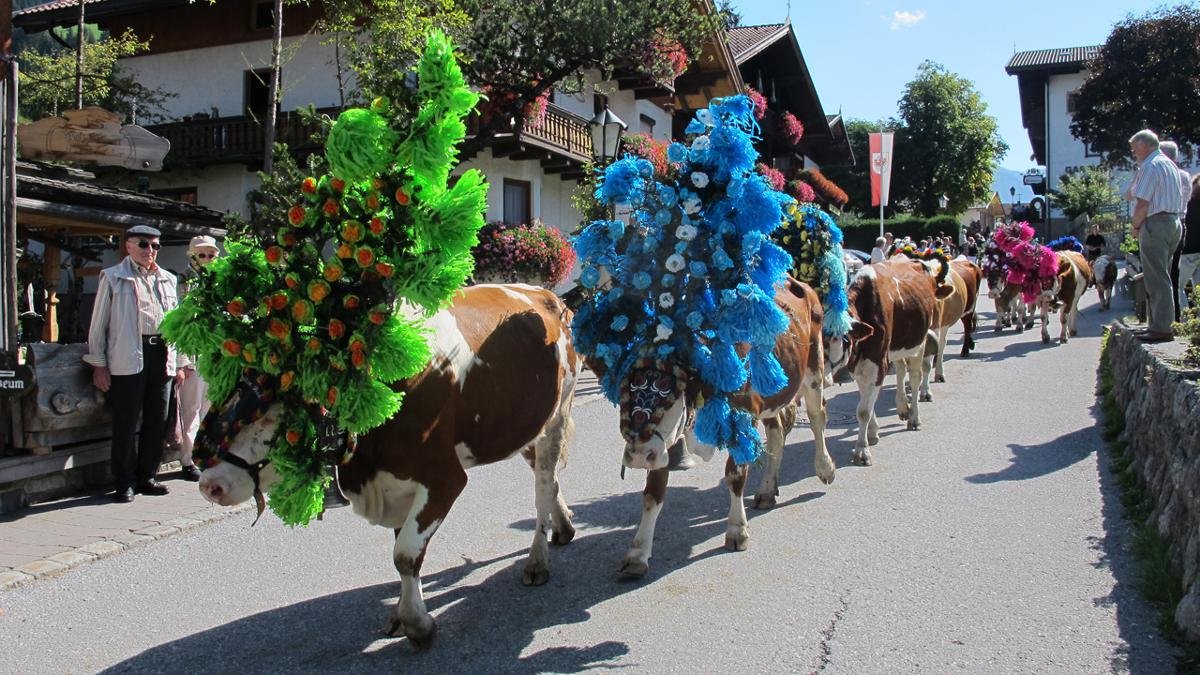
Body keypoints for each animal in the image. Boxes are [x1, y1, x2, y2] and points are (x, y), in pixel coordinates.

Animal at [192, 283, 580, 648]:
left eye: (274, 418)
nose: (209, 485)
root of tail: (547, 295)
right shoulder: (395, 485)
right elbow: (404, 552)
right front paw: (400, 613)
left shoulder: (444, 479)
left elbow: (405, 554)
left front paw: (417, 624)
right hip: (524, 427)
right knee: (552, 482)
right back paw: (563, 527)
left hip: (556, 416)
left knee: (543, 488)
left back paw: (537, 561)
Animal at [604, 276, 830, 576]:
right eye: (625, 390)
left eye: (670, 391)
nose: (639, 455)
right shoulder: (665, 443)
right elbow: (653, 493)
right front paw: (638, 553)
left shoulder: (744, 419)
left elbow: (735, 475)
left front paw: (736, 531)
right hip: (774, 395)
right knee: (777, 432)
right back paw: (767, 490)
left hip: (814, 367)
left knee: (817, 418)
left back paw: (825, 468)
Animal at [825, 257, 955, 461]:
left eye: (838, 338)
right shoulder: (859, 365)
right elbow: (865, 399)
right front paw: (872, 432)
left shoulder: (878, 362)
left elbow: (863, 410)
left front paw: (862, 449)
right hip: (896, 348)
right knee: (901, 370)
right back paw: (902, 407)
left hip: (918, 344)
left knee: (916, 377)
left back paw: (914, 417)